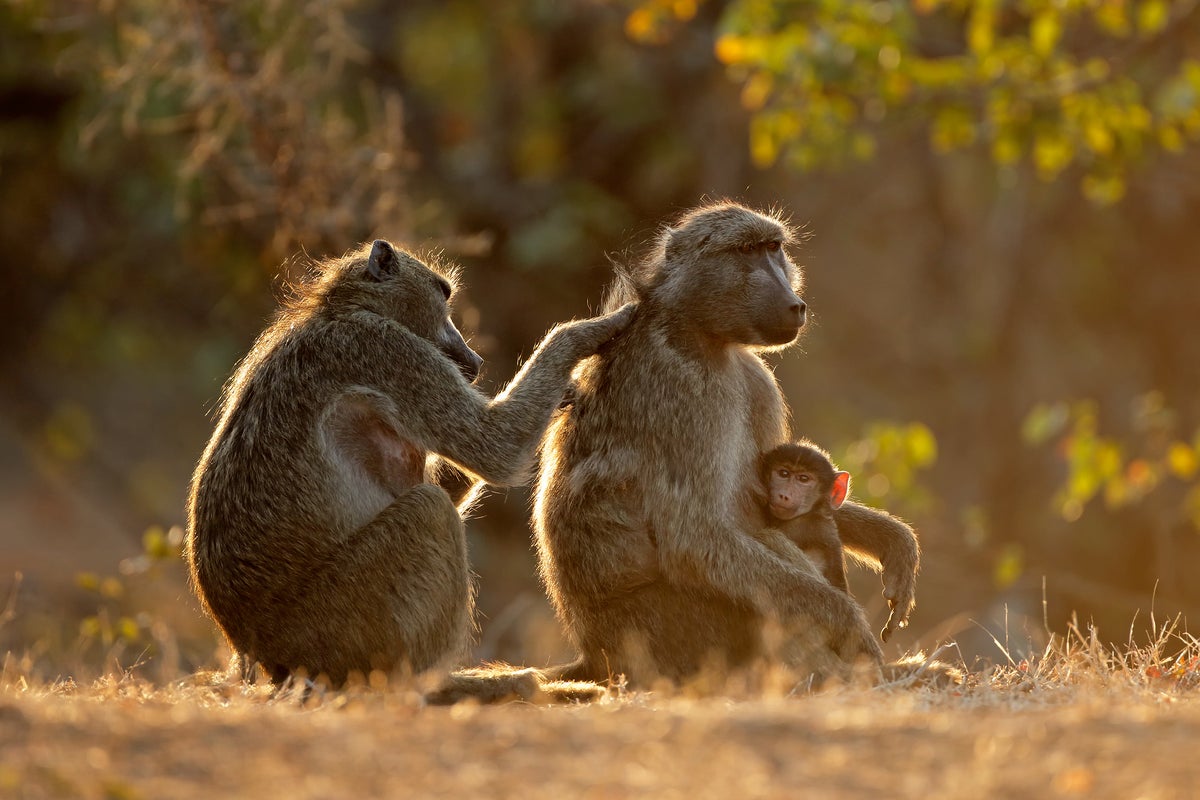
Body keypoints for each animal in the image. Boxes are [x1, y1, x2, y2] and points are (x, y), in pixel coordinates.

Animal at [185, 239, 635, 688]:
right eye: (444, 296)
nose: (474, 360)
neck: (342, 311)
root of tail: (267, 657)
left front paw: (565, 392)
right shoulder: (386, 350)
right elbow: (495, 447)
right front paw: (592, 329)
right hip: (339, 626)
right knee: (429, 509)